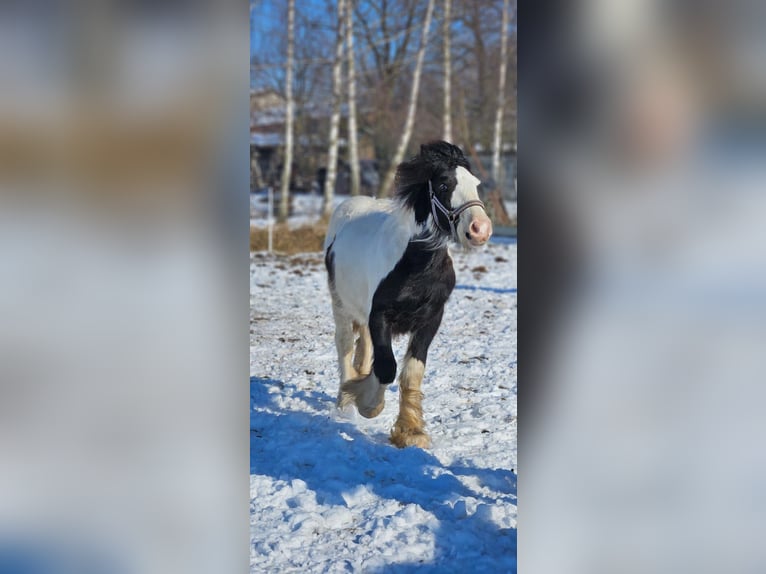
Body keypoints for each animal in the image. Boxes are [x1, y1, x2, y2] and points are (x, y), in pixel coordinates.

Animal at [322, 141, 492, 450]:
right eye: (444, 184)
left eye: (475, 183)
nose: (480, 230)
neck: (416, 262)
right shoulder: (380, 316)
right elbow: (386, 368)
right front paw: (367, 404)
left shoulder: (431, 318)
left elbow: (412, 372)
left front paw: (410, 431)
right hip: (340, 305)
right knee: (345, 345)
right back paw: (344, 401)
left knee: (364, 348)